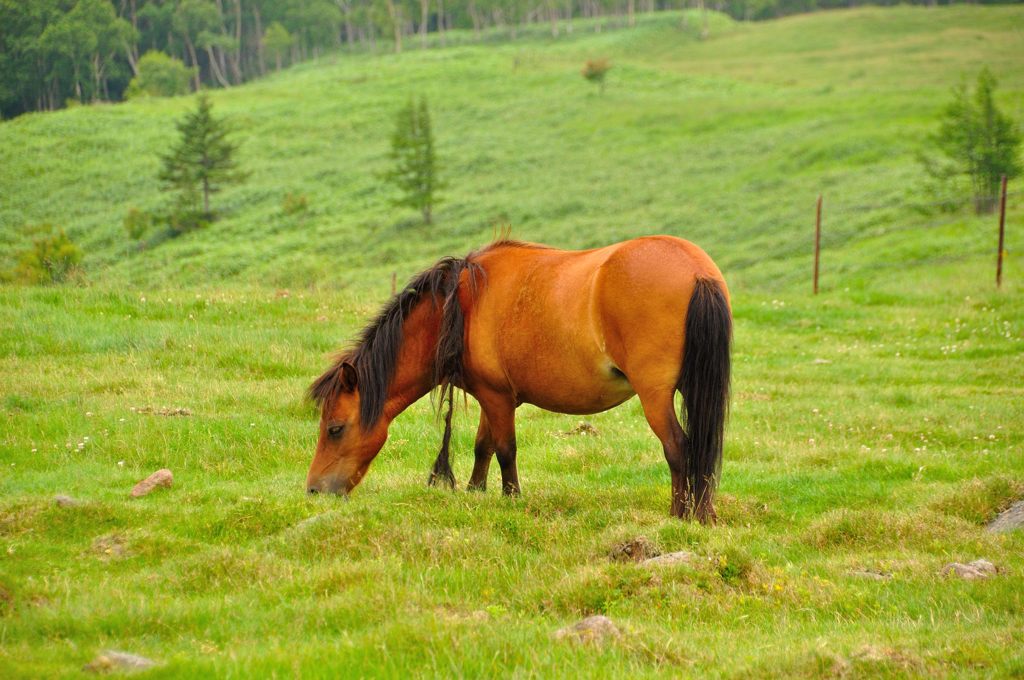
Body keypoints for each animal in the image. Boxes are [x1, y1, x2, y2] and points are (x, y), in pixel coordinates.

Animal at [307, 236, 733, 522]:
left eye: (335, 429)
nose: (314, 490)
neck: (461, 304)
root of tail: (697, 271)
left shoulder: (497, 397)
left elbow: (505, 450)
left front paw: (511, 498)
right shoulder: (490, 396)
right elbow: (483, 447)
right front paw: (475, 493)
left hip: (654, 396)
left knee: (678, 448)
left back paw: (680, 515)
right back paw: (703, 514)